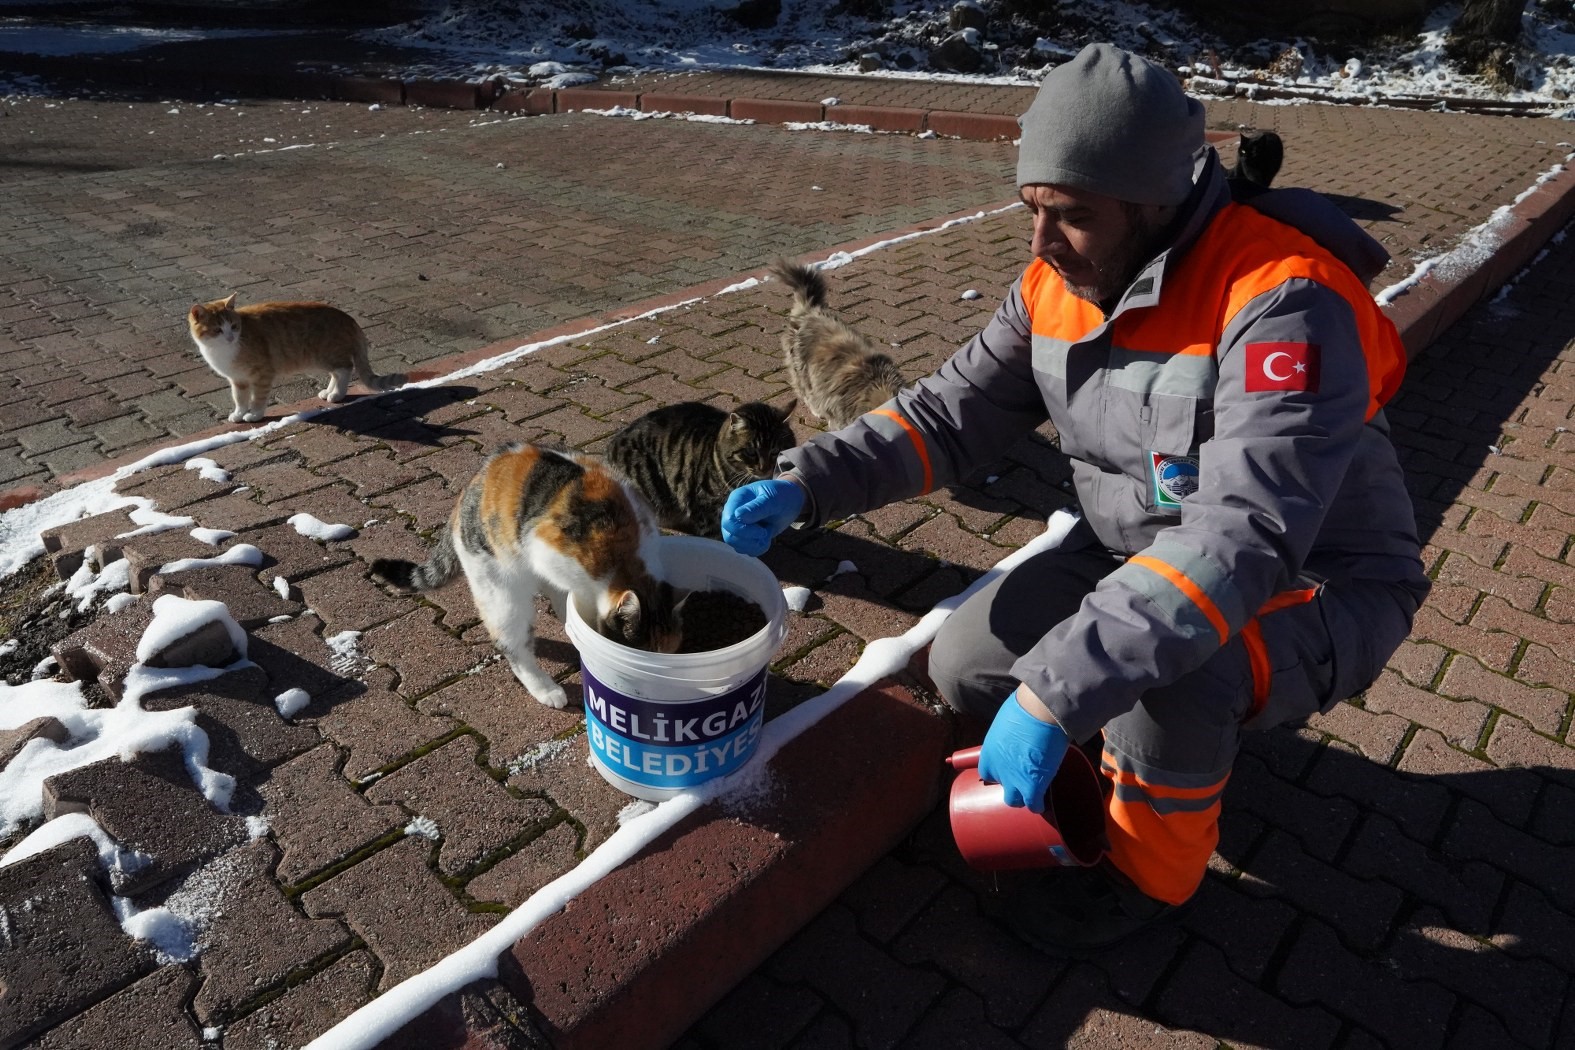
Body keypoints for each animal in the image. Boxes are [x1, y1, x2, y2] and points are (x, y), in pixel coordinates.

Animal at [187, 291, 406, 421]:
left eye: (233, 326)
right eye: (218, 330)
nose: (231, 337)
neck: (222, 350)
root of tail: (348, 317)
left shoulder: (262, 374)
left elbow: (258, 398)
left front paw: (255, 414)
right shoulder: (238, 379)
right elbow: (239, 399)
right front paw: (239, 414)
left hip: (324, 355)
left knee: (345, 369)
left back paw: (337, 394)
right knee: (337, 373)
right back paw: (329, 392)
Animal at [374, 440, 689, 711]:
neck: (629, 561)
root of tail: (470, 488)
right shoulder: (545, 549)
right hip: (501, 589)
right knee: (513, 644)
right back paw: (545, 689)